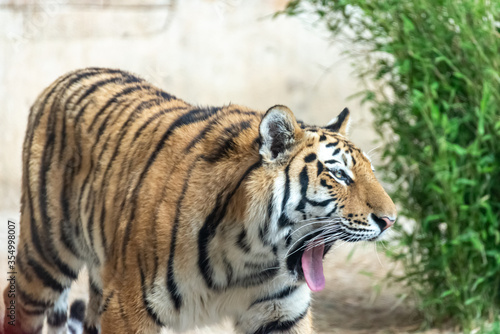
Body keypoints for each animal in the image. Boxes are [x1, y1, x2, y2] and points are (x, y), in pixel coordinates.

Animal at [1, 68, 396, 334]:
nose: (391, 219)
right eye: (340, 175)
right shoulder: (128, 308)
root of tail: (68, 75)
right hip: (46, 255)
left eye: (370, 172)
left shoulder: (282, 313)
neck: (250, 255)